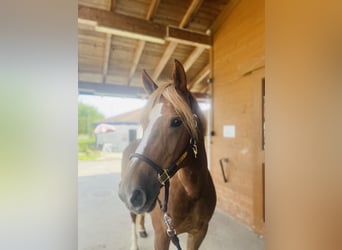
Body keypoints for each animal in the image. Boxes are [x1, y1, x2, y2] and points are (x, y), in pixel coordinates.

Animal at [119, 59, 216, 249]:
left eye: (176, 121)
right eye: (144, 122)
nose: (129, 191)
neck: (192, 191)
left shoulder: (198, 233)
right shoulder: (163, 236)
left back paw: (142, 229)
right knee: (133, 217)